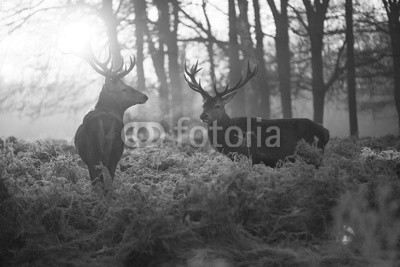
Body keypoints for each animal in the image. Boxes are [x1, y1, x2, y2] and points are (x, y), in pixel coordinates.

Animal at [184, 62, 328, 168]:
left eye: (217, 105)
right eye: (203, 105)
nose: (203, 116)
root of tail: (326, 132)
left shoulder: (250, 156)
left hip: (313, 155)